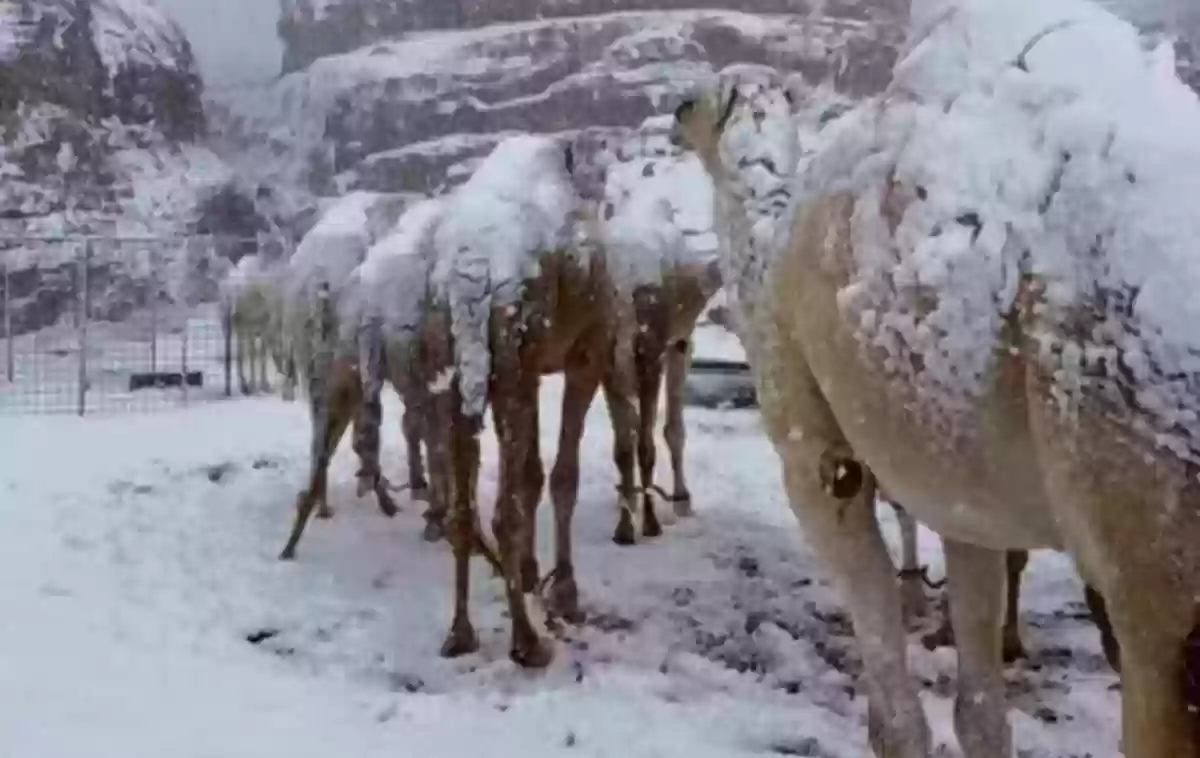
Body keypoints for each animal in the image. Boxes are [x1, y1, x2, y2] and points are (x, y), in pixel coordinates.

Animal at [681, 2, 1200, 753]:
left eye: (689, 105)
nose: (671, 114)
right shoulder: (961, 486)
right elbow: (981, 708)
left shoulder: (815, 454)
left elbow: (895, 704)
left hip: (1149, 529)